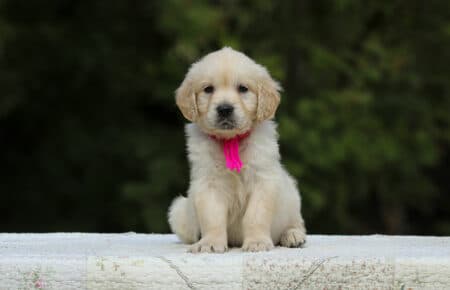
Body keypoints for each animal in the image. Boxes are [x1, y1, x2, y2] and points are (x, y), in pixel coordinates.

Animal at [169, 47, 306, 251]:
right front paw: (210, 243)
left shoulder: (263, 179)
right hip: (179, 210)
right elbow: (212, 217)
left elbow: (255, 216)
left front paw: (257, 242)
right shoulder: (209, 182)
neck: (231, 140)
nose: (225, 109)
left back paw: (292, 235)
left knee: (297, 222)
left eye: (243, 88)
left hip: (292, 196)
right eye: (208, 89)